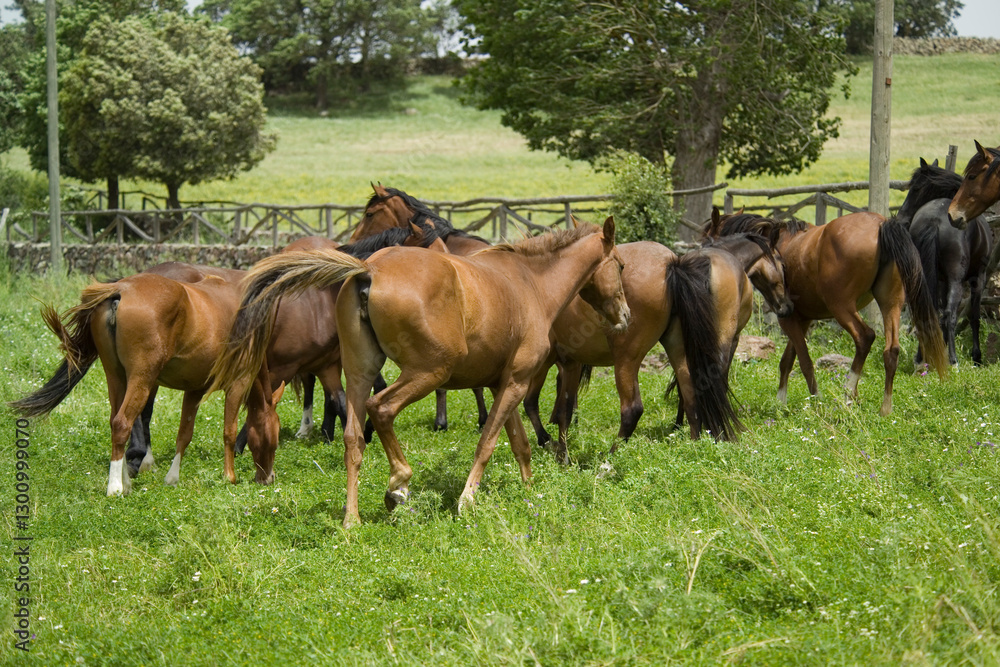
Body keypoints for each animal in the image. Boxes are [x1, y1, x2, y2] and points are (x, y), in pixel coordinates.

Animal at [9, 273, 284, 496]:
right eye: (275, 433)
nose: (268, 478)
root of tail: (121, 289)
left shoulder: (194, 390)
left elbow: (184, 434)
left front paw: (172, 478)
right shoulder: (238, 384)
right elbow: (229, 431)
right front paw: (229, 476)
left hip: (117, 378)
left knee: (115, 422)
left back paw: (124, 481)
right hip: (142, 379)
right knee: (122, 423)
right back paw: (115, 487)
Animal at [211, 218, 629, 528]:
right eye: (621, 266)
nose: (625, 316)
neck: (530, 283)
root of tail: (369, 268)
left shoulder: (503, 384)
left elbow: (519, 443)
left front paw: (528, 492)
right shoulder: (515, 382)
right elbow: (488, 442)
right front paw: (467, 500)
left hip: (360, 373)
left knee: (353, 437)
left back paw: (352, 519)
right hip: (428, 373)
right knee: (381, 409)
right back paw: (398, 485)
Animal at [706, 211, 948, 415]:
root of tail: (881, 224)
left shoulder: (789, 320)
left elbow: (804, 362)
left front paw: (814, 399)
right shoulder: (801, 320)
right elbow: (787, 361)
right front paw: (781, 402)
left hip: (841, 307)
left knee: (865, 337)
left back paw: (848, 394)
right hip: (891, 304)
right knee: (891, 350)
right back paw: (885, 408)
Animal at [900, 158, 993, 365]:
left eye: (916, 188)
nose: (901, 218)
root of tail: (934, 220)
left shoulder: (941, 280)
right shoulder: (978, 278)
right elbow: (974, 316)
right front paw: (977, 357)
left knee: (927, 312)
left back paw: (921, 358)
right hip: (956, 280)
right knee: (950, 313)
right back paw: (953, 360)